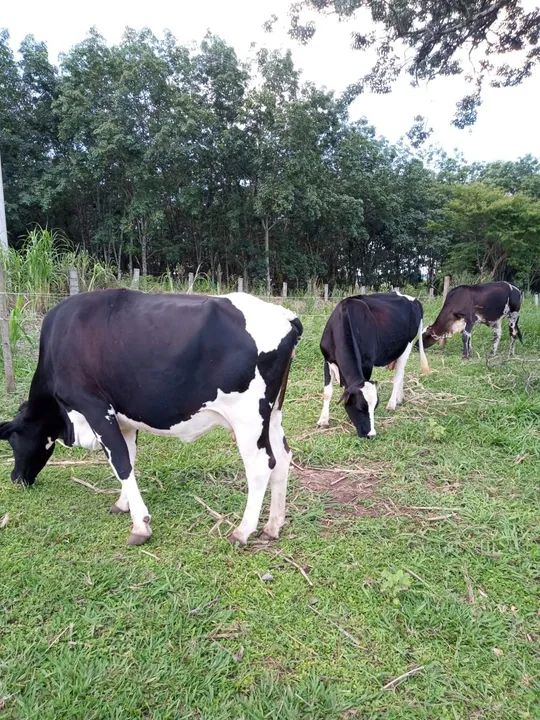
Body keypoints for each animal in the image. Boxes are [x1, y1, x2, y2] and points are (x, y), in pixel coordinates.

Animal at [0, 289, 302, 547]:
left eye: (13, 441)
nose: (15, 478)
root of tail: (283, 315)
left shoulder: (95, 407)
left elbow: (120, 462)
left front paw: (140, 525)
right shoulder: (123, 418)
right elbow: (129, 457)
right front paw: (123, 504)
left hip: (248, 419)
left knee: (262, 465)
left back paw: (243, 531)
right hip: (272, 415)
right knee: (283, 457)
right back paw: (273, 526)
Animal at [316, 291, 429, 438]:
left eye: (374, 407)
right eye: (360, 408)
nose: (371, 434)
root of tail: (414, 300)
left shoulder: (367, 363)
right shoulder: (327, 359)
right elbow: (327, 392)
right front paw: (323, 420)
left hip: (408, 345)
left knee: (398, 375)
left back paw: (392, 403)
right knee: (402, 373)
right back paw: (399, 398)